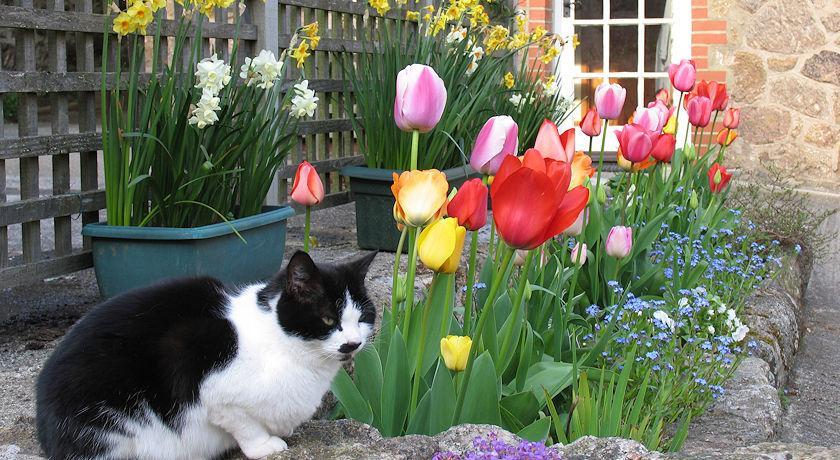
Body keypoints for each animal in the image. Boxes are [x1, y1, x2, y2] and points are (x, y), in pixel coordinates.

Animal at [36, 252, 378, 460]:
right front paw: (264, 445)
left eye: (362, 317)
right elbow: (243, 423)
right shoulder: (207, 381)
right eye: (328, 319)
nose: (352, 344)